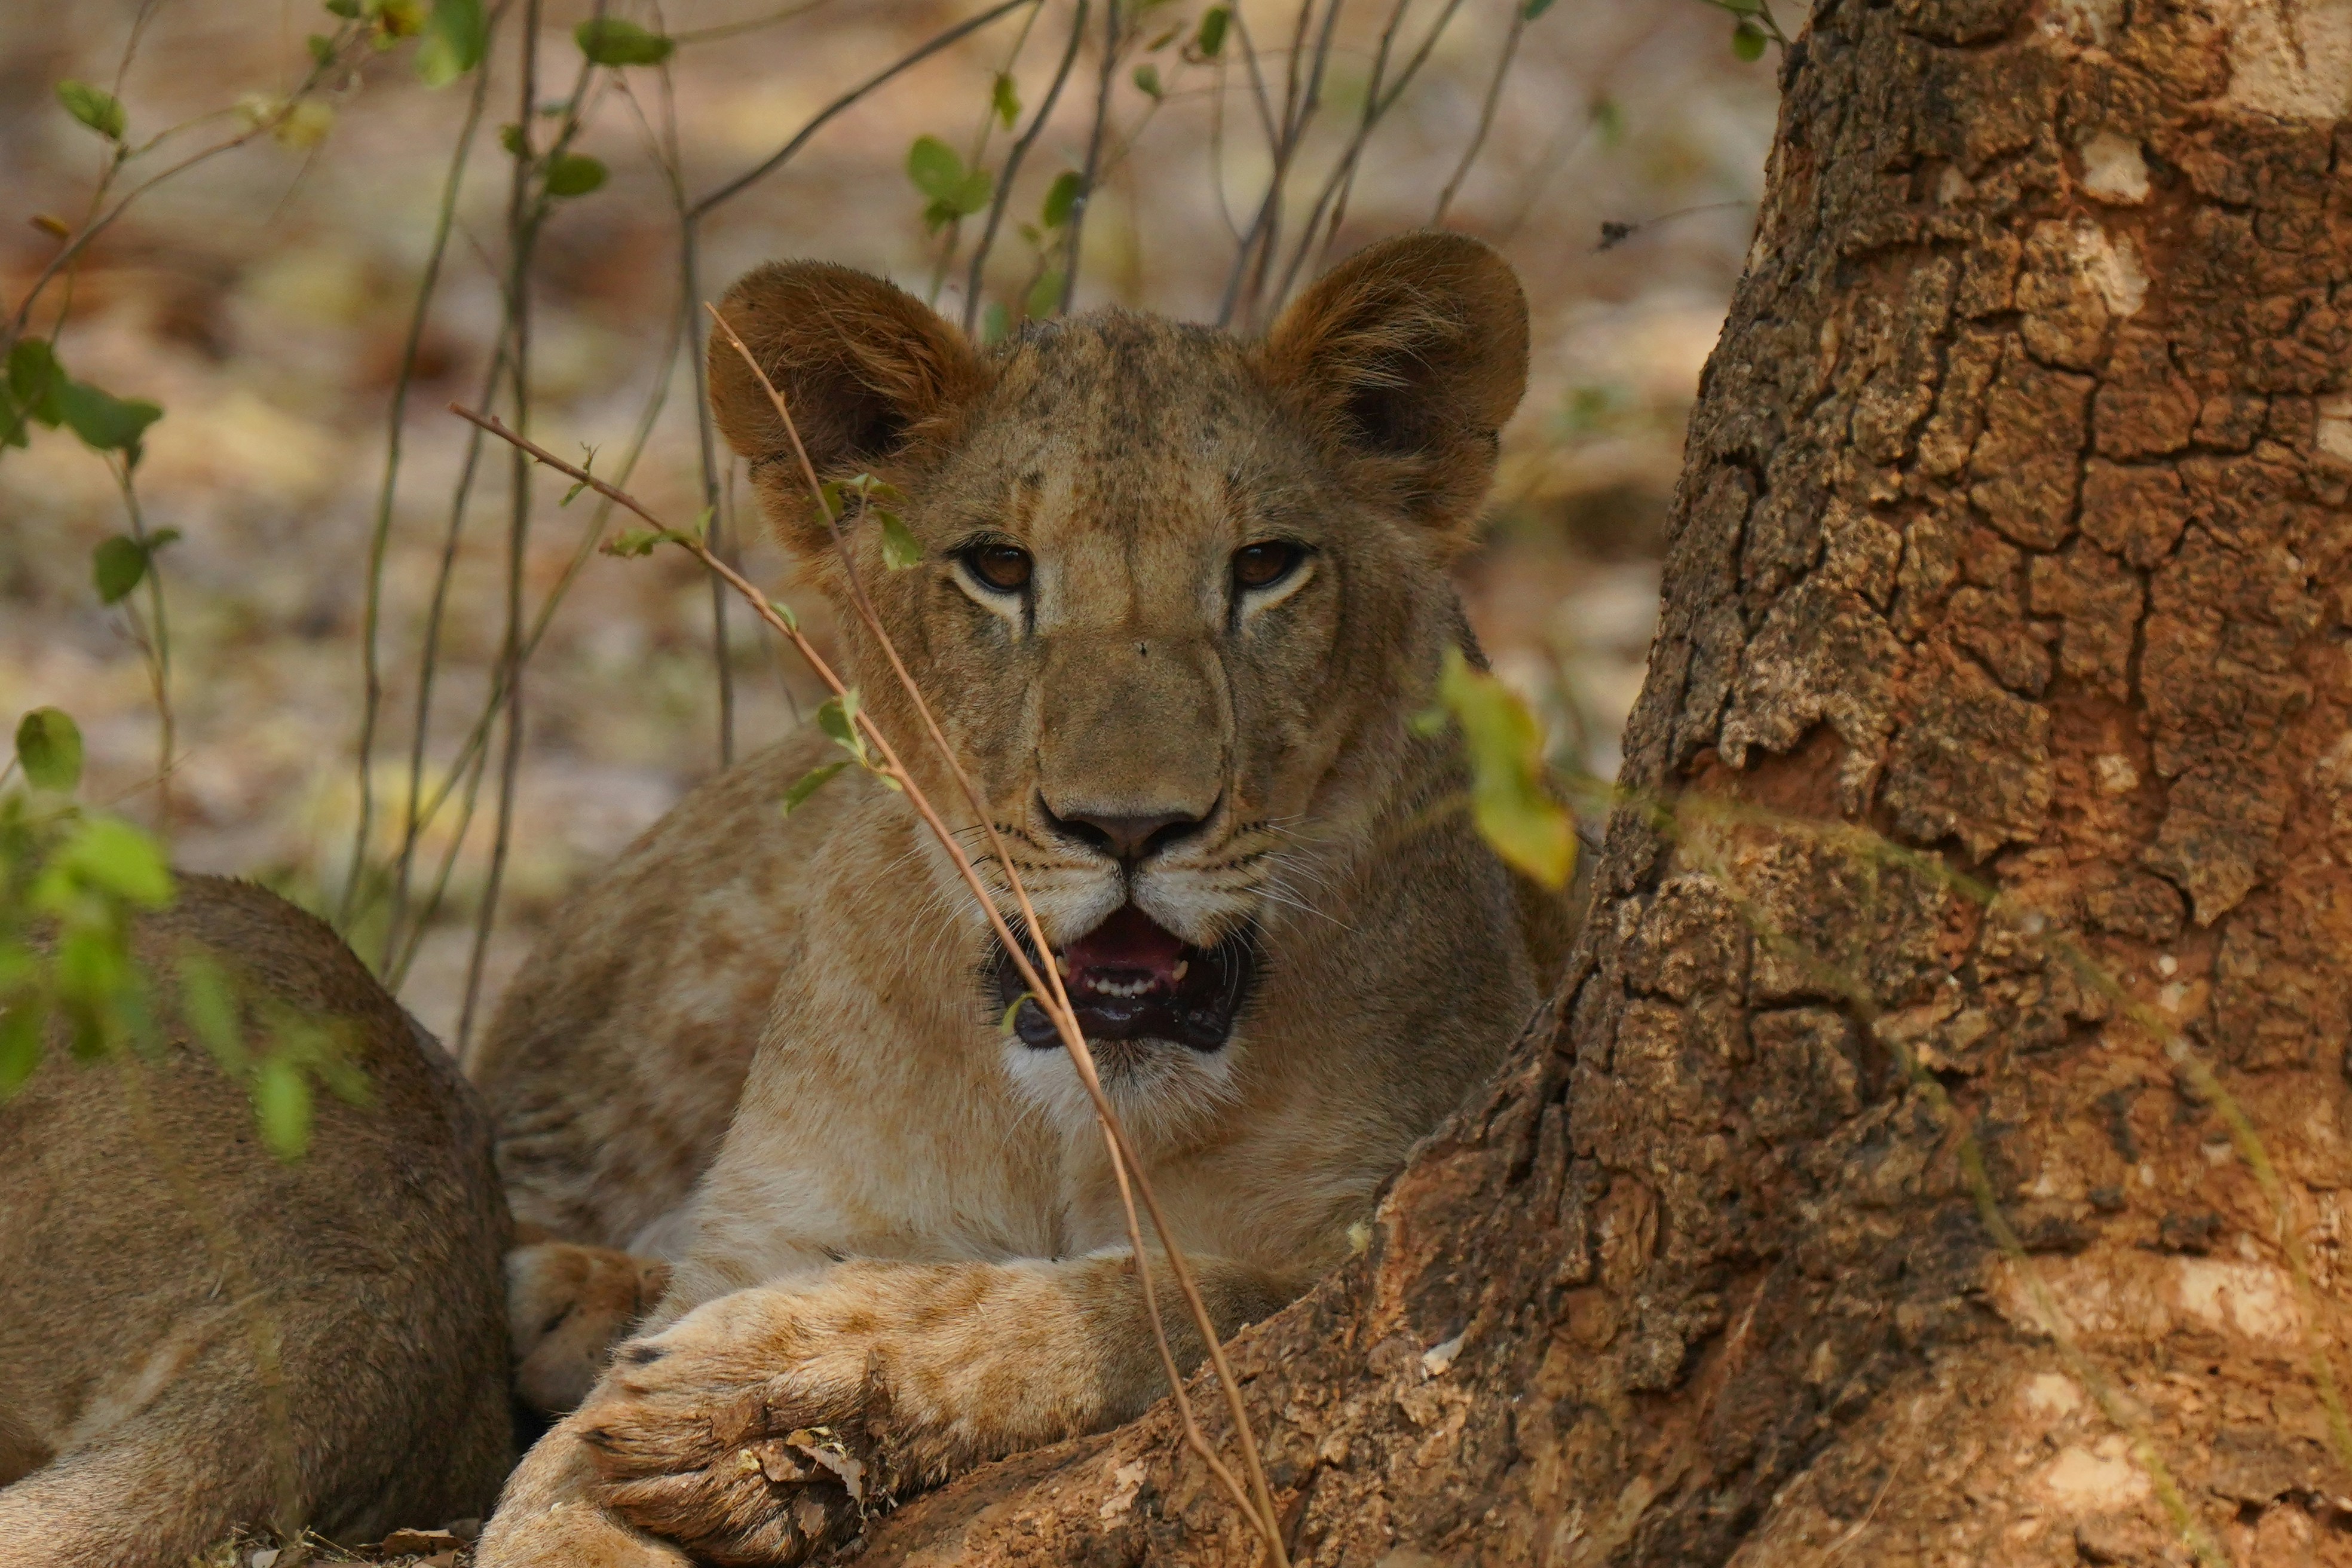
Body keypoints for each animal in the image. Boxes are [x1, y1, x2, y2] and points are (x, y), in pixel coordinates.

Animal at [472, 231, 1556, 1566]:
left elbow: (1156, 1297)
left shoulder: (1381, 1227)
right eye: (999, 568)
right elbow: (552, 1495)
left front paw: (765, 1393)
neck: (1074, 1123)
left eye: (1265, 567)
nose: (1129, 825)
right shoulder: (759, 1227)